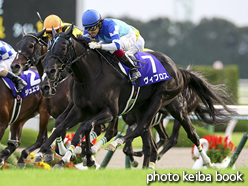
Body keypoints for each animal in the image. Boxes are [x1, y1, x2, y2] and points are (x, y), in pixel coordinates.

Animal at [33, 25, 236, 169]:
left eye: (63, 46)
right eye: (49, 48)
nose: (49, 73)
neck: (91, 74)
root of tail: (179, 70)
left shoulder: (109, 111)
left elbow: (84, 127)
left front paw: (71, 155)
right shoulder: (80, 109)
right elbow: (61, 126)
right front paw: (44, 152)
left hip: (168, 103)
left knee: (178, 132)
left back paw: (208, 161)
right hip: (143, 107)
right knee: (148, 138)